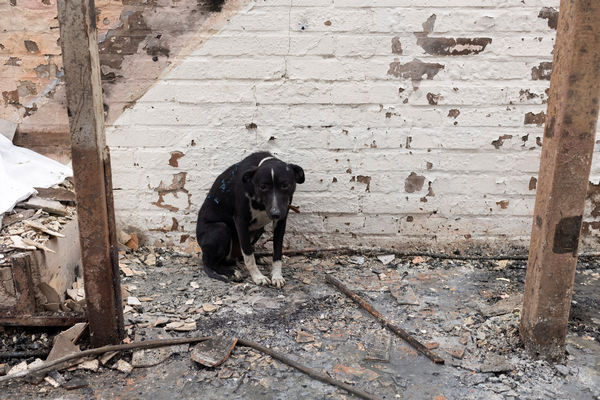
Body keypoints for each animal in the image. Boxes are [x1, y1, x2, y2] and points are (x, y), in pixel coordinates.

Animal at [197, 152, 304, 286]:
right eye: (263, 187)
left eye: (285, 185)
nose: (275, 213)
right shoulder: (241, 221)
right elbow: (248, 254)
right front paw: (258, 277)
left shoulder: (281, 220)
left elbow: (277, 251)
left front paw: (277, 276)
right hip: (220, 229)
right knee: (212, 263)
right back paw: (231, 272)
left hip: (259, 229)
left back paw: (259, 258)